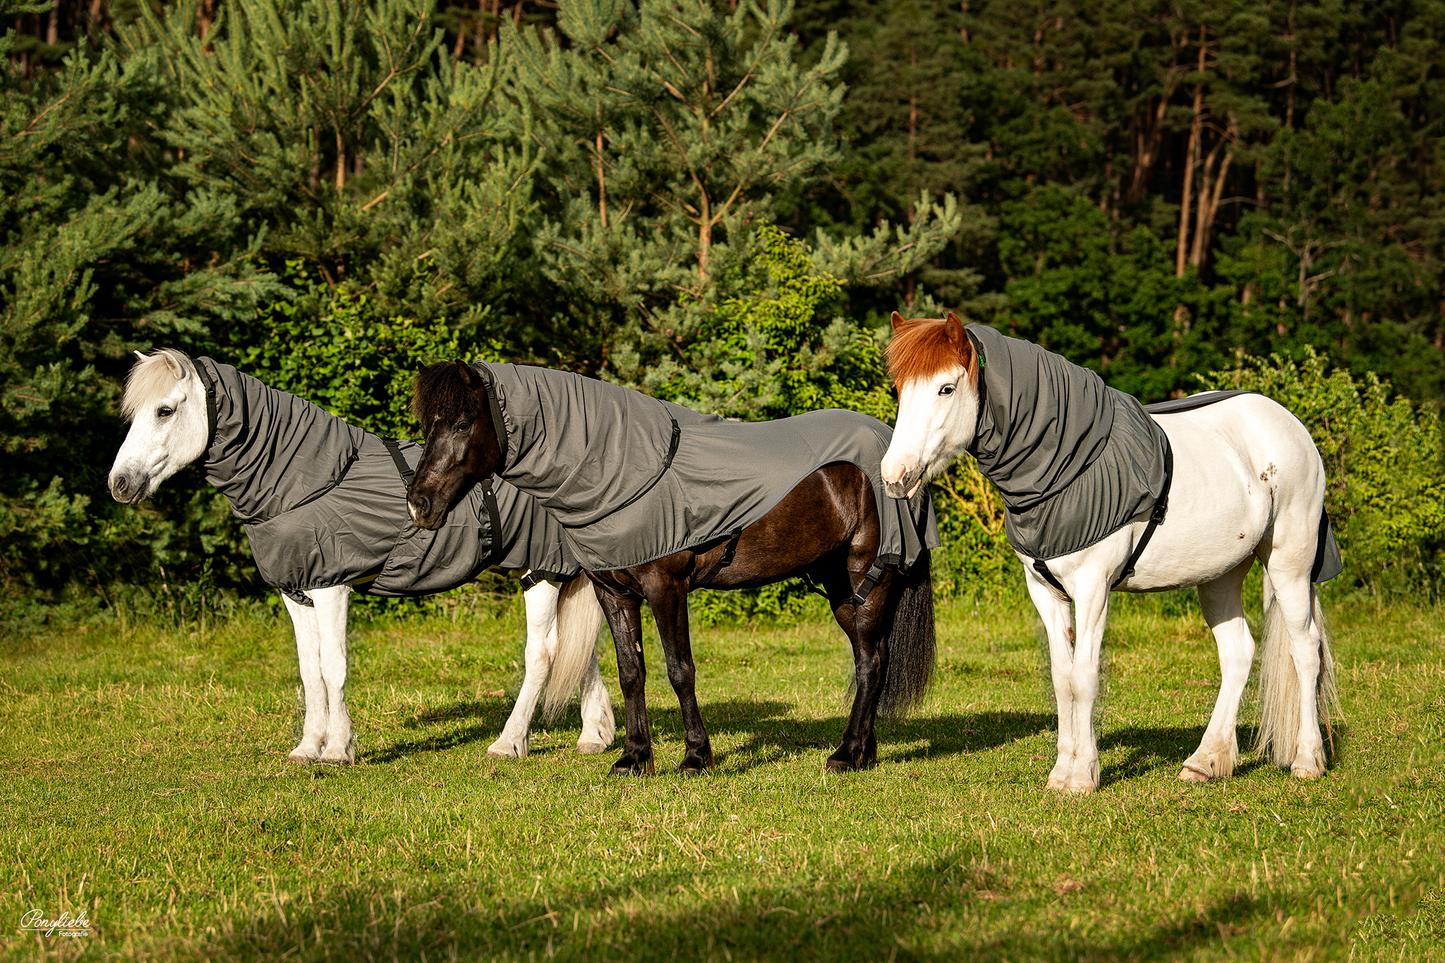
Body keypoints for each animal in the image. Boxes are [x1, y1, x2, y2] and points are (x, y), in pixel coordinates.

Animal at [106, 348, 612, 763]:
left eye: (165, 409)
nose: (119, 484)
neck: (303, 479)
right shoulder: (296, 592)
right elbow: (309, 670)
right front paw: (307, 748)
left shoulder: (330, 585)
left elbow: (333, 666)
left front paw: (338, 749)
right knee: (580, 649)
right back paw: (593, 736)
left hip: (542, 571)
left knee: (543, 652)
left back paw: (509, 742)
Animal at [407, 360, 936, 775]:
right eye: (427, 426)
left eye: (461, 423)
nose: (419, 504)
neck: (622, 466)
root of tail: (894, 451)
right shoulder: (613, 592)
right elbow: (631, 672)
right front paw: (633, 758)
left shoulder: (666, 588)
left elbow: (680, 670)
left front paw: (696, 758)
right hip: (841, 586)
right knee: (872, 658)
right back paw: (862, 751)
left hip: (869, 575)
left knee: (871, 663)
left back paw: (845, 755)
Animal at [878, 310, 1340, 792]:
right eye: (900, 389)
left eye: (946, 388)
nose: (894, 476)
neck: (1070, 464)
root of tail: (1290, 425)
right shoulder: (1044, 591)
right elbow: (1061, 679)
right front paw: (1061, 772)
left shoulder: (1092, 589)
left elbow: (1084, 677)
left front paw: (1083, 775)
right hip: (1220, 575)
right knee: (1238, 654)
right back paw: (1205, 761)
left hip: (1290, 563)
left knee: (1306, 651)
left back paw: (1307, 759)